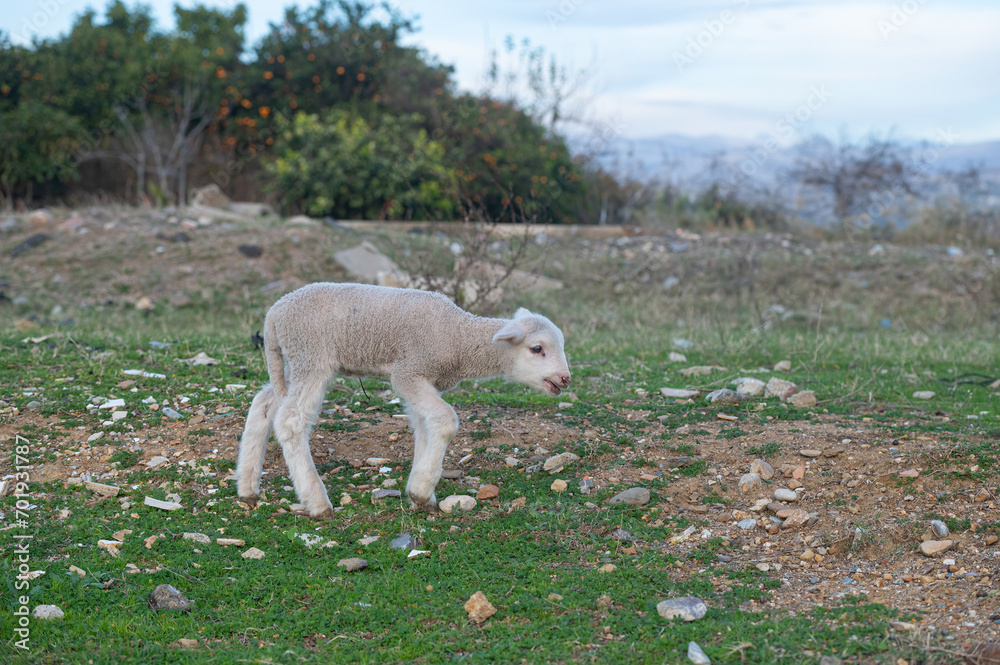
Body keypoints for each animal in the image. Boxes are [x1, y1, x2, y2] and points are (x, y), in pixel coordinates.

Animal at [236, 282, 571, 518]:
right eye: (537, 349)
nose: (565, 379)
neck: (458, 337)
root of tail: (274, 315)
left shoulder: (423, 379)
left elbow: (425, 426)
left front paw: (421, 492)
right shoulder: (408, 372)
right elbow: (445, 420)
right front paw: (422, 489)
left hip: (293, 363)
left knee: (264, 404)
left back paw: (248, 488)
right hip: (311, 356)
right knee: (290, 421)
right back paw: (317, 502)